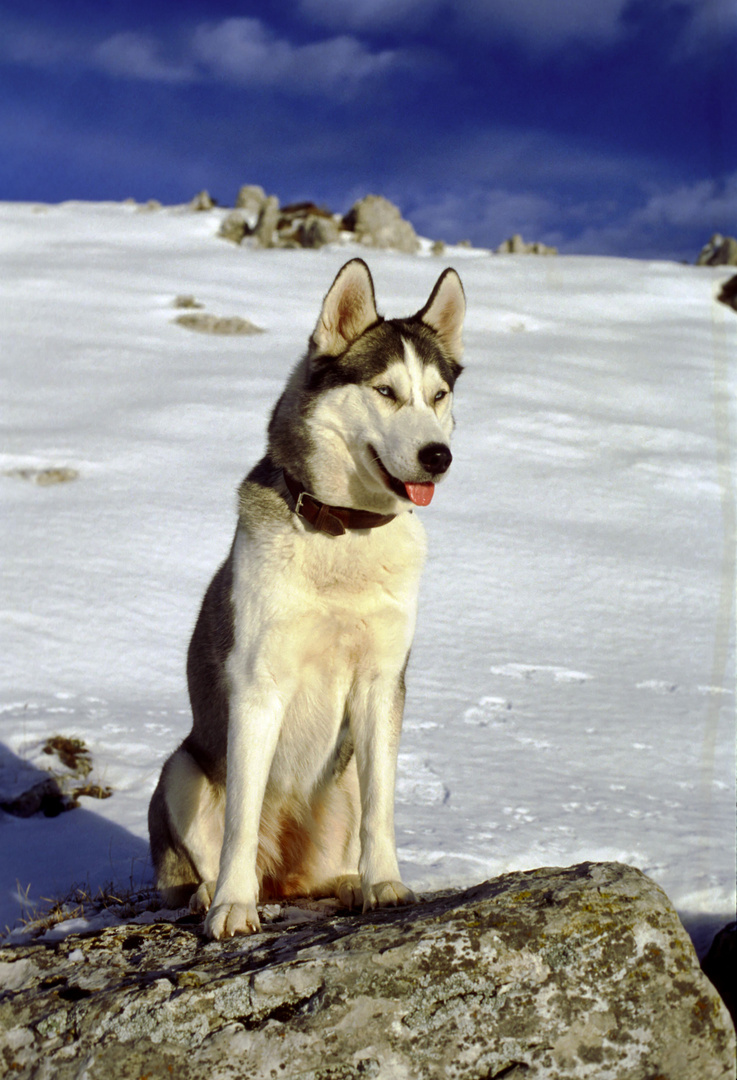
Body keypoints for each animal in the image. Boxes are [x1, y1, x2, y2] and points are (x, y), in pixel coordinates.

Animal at [145, 259, 462, 937]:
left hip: (339, 782)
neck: (343, 534)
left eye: (438, 395)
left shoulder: (381, 684)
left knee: (328, 860)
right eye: (386, 391)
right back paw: (210, 893)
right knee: (211, 855)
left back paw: (346, 884)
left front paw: (384, 885)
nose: (438, 456)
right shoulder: (257, 687)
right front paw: (231, 909)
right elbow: (239, 822)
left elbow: (382, 810)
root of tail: (284, 874)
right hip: (182, 769)